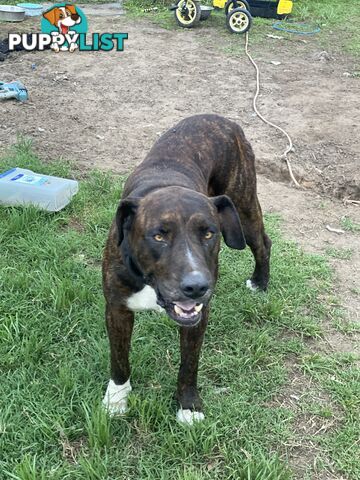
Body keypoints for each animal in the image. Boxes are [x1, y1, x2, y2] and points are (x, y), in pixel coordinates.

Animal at [101, 114, 270, 426]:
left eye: (209, 233)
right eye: (158, 236)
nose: (197, 286)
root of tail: (223, 120)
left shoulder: (198, 316)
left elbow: (189, 364)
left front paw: (188, 405)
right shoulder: (117, 309)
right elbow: (119, 360)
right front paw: (116, 400)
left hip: (243, 205)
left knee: (264, 243)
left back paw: (260, 282)